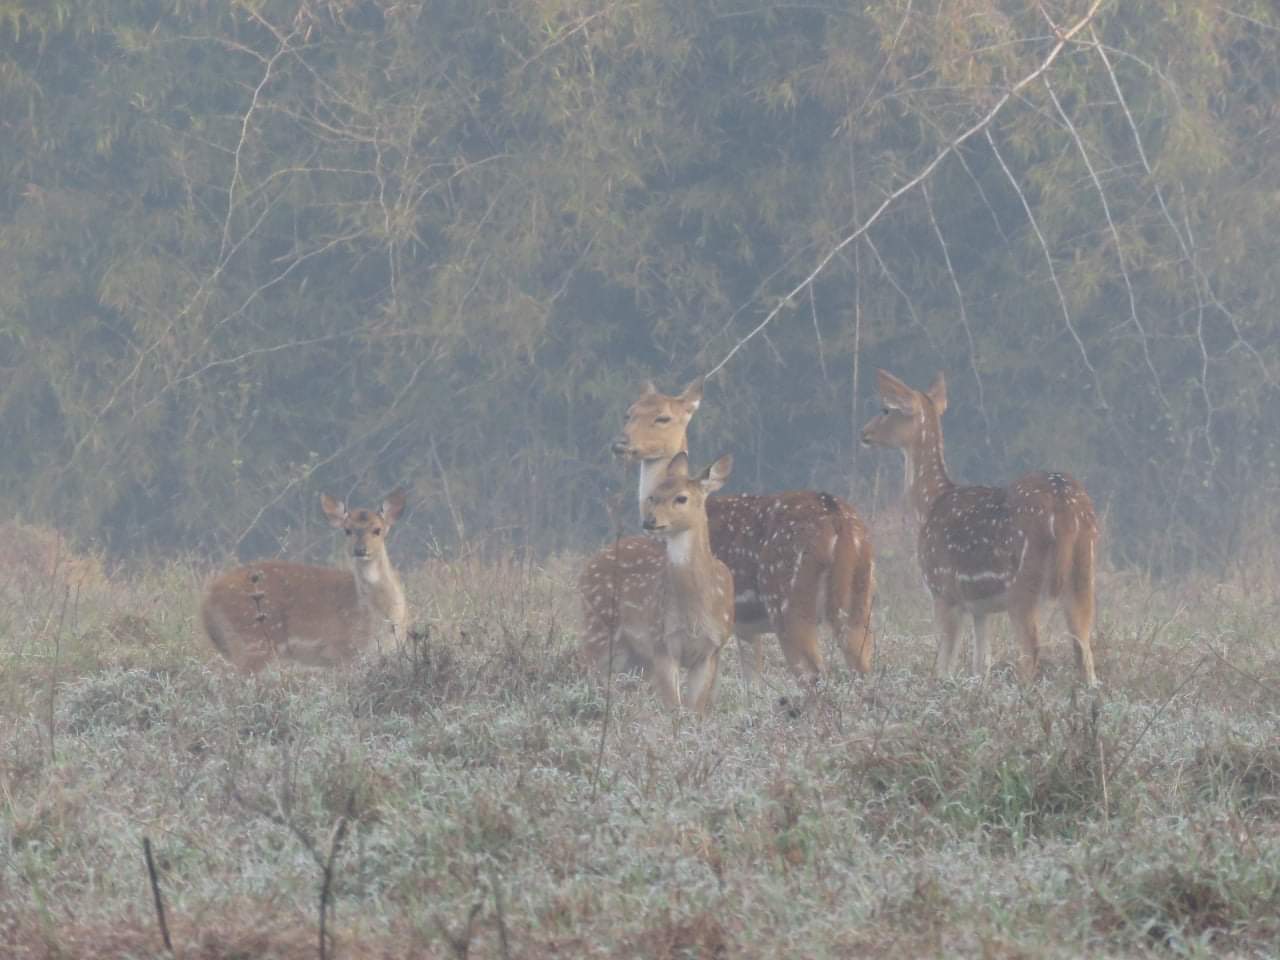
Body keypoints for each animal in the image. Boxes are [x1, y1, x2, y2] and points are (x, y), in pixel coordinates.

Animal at [202, 491, 407, 670]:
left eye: (377, 530)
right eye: (347, 530)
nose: (360, 549)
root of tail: (207, 604)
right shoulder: (342, 651)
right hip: (253, 643)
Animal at [578, 453, 732, 716]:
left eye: (681, 498)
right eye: (653, 495)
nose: (649, 521)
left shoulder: (711, 647)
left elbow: (695, 710)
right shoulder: (661, 639)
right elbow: (673, 708)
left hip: (634, 654)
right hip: (597, 626)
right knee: (589, 671)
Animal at [586, 376, 875, 686]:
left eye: (663, 417)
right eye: (629, 413)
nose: (620, 443)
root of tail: (839, 521)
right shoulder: (746, 626)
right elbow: (752, 681)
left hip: (788, 601)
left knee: (813, 672)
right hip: (860, 599)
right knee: (862, 665)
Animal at [860, 371, 1100, 686]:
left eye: (886, 409)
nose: (864, 433)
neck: (929, 505)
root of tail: (1065, 506)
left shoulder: (944, 589)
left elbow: (944, 665)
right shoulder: (979, 608)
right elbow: (980, 663)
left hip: (1023, 583)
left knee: (1031, 650)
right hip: (1083, 573)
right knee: (1085, 649)